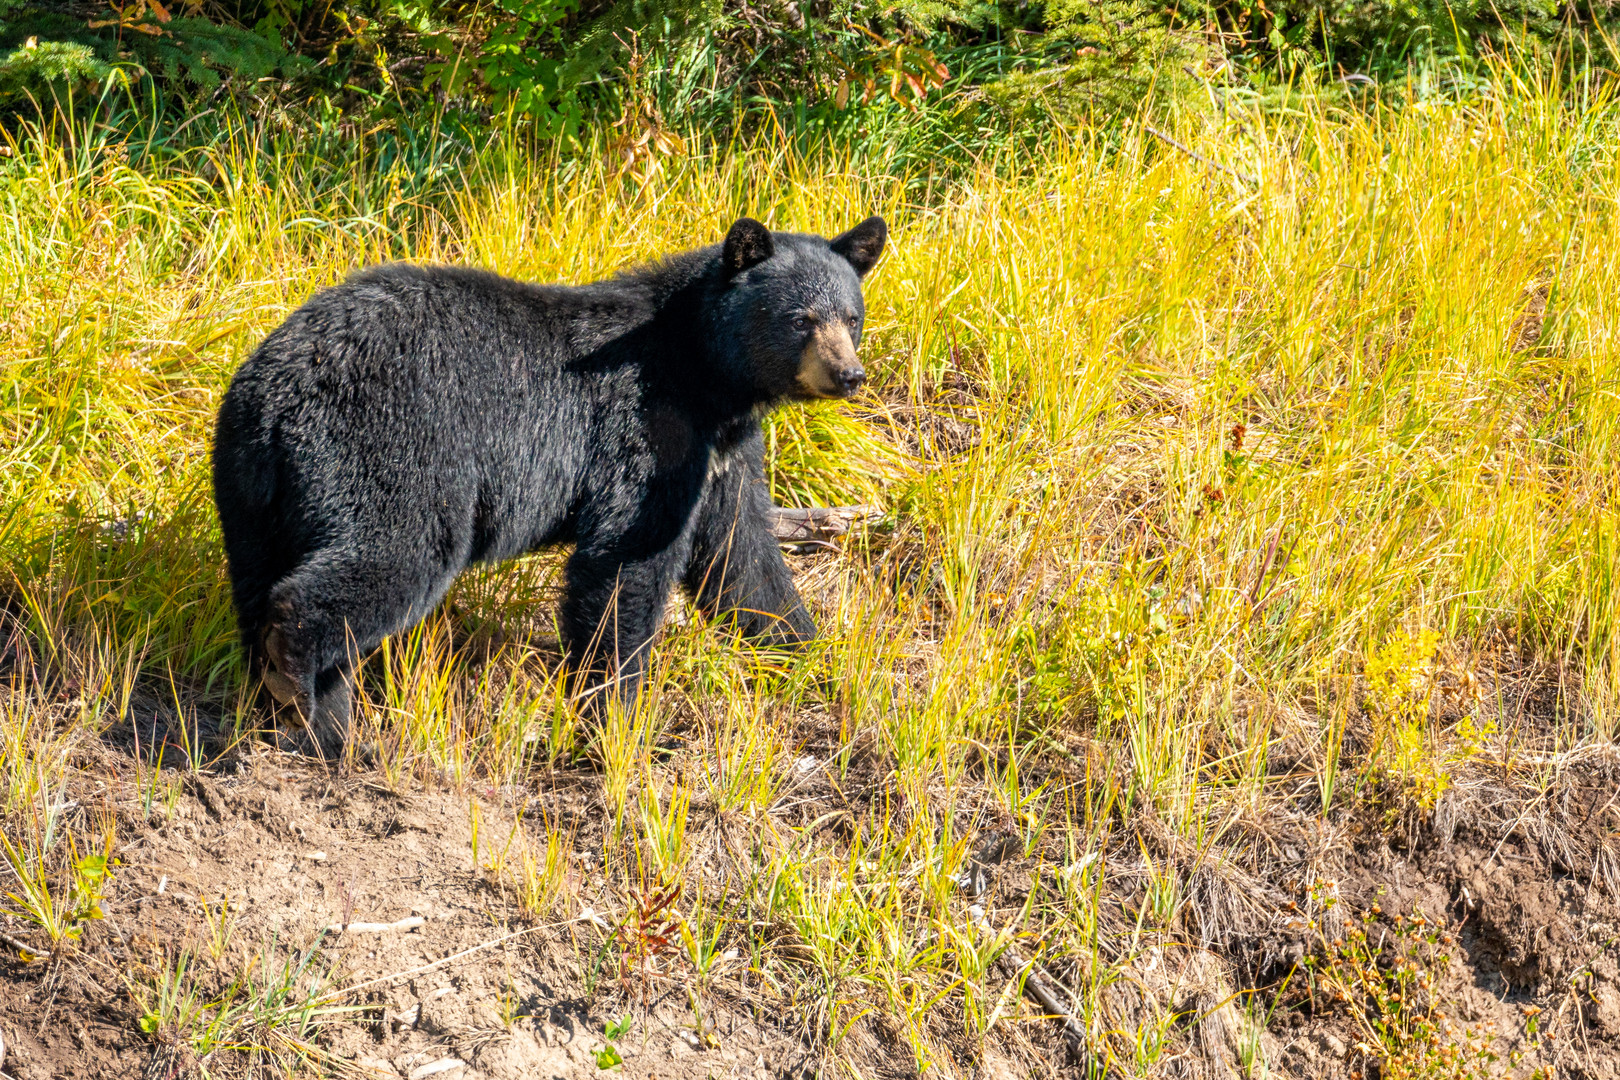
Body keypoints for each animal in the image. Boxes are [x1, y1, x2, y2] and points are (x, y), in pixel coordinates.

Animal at [212, 215, 887, 761]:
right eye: (800, 319)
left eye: (851, 316)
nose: (848, 373)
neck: (706, 372)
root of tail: (279, 391)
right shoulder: (646, 427)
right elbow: (626, 560)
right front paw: (618, 714)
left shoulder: (722, 452)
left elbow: (740, 554)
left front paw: (807, 650)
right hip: (391, 446)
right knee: (393, 552)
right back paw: (302, 685)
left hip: (251, 486)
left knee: (259, 576)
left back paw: (314, 721)